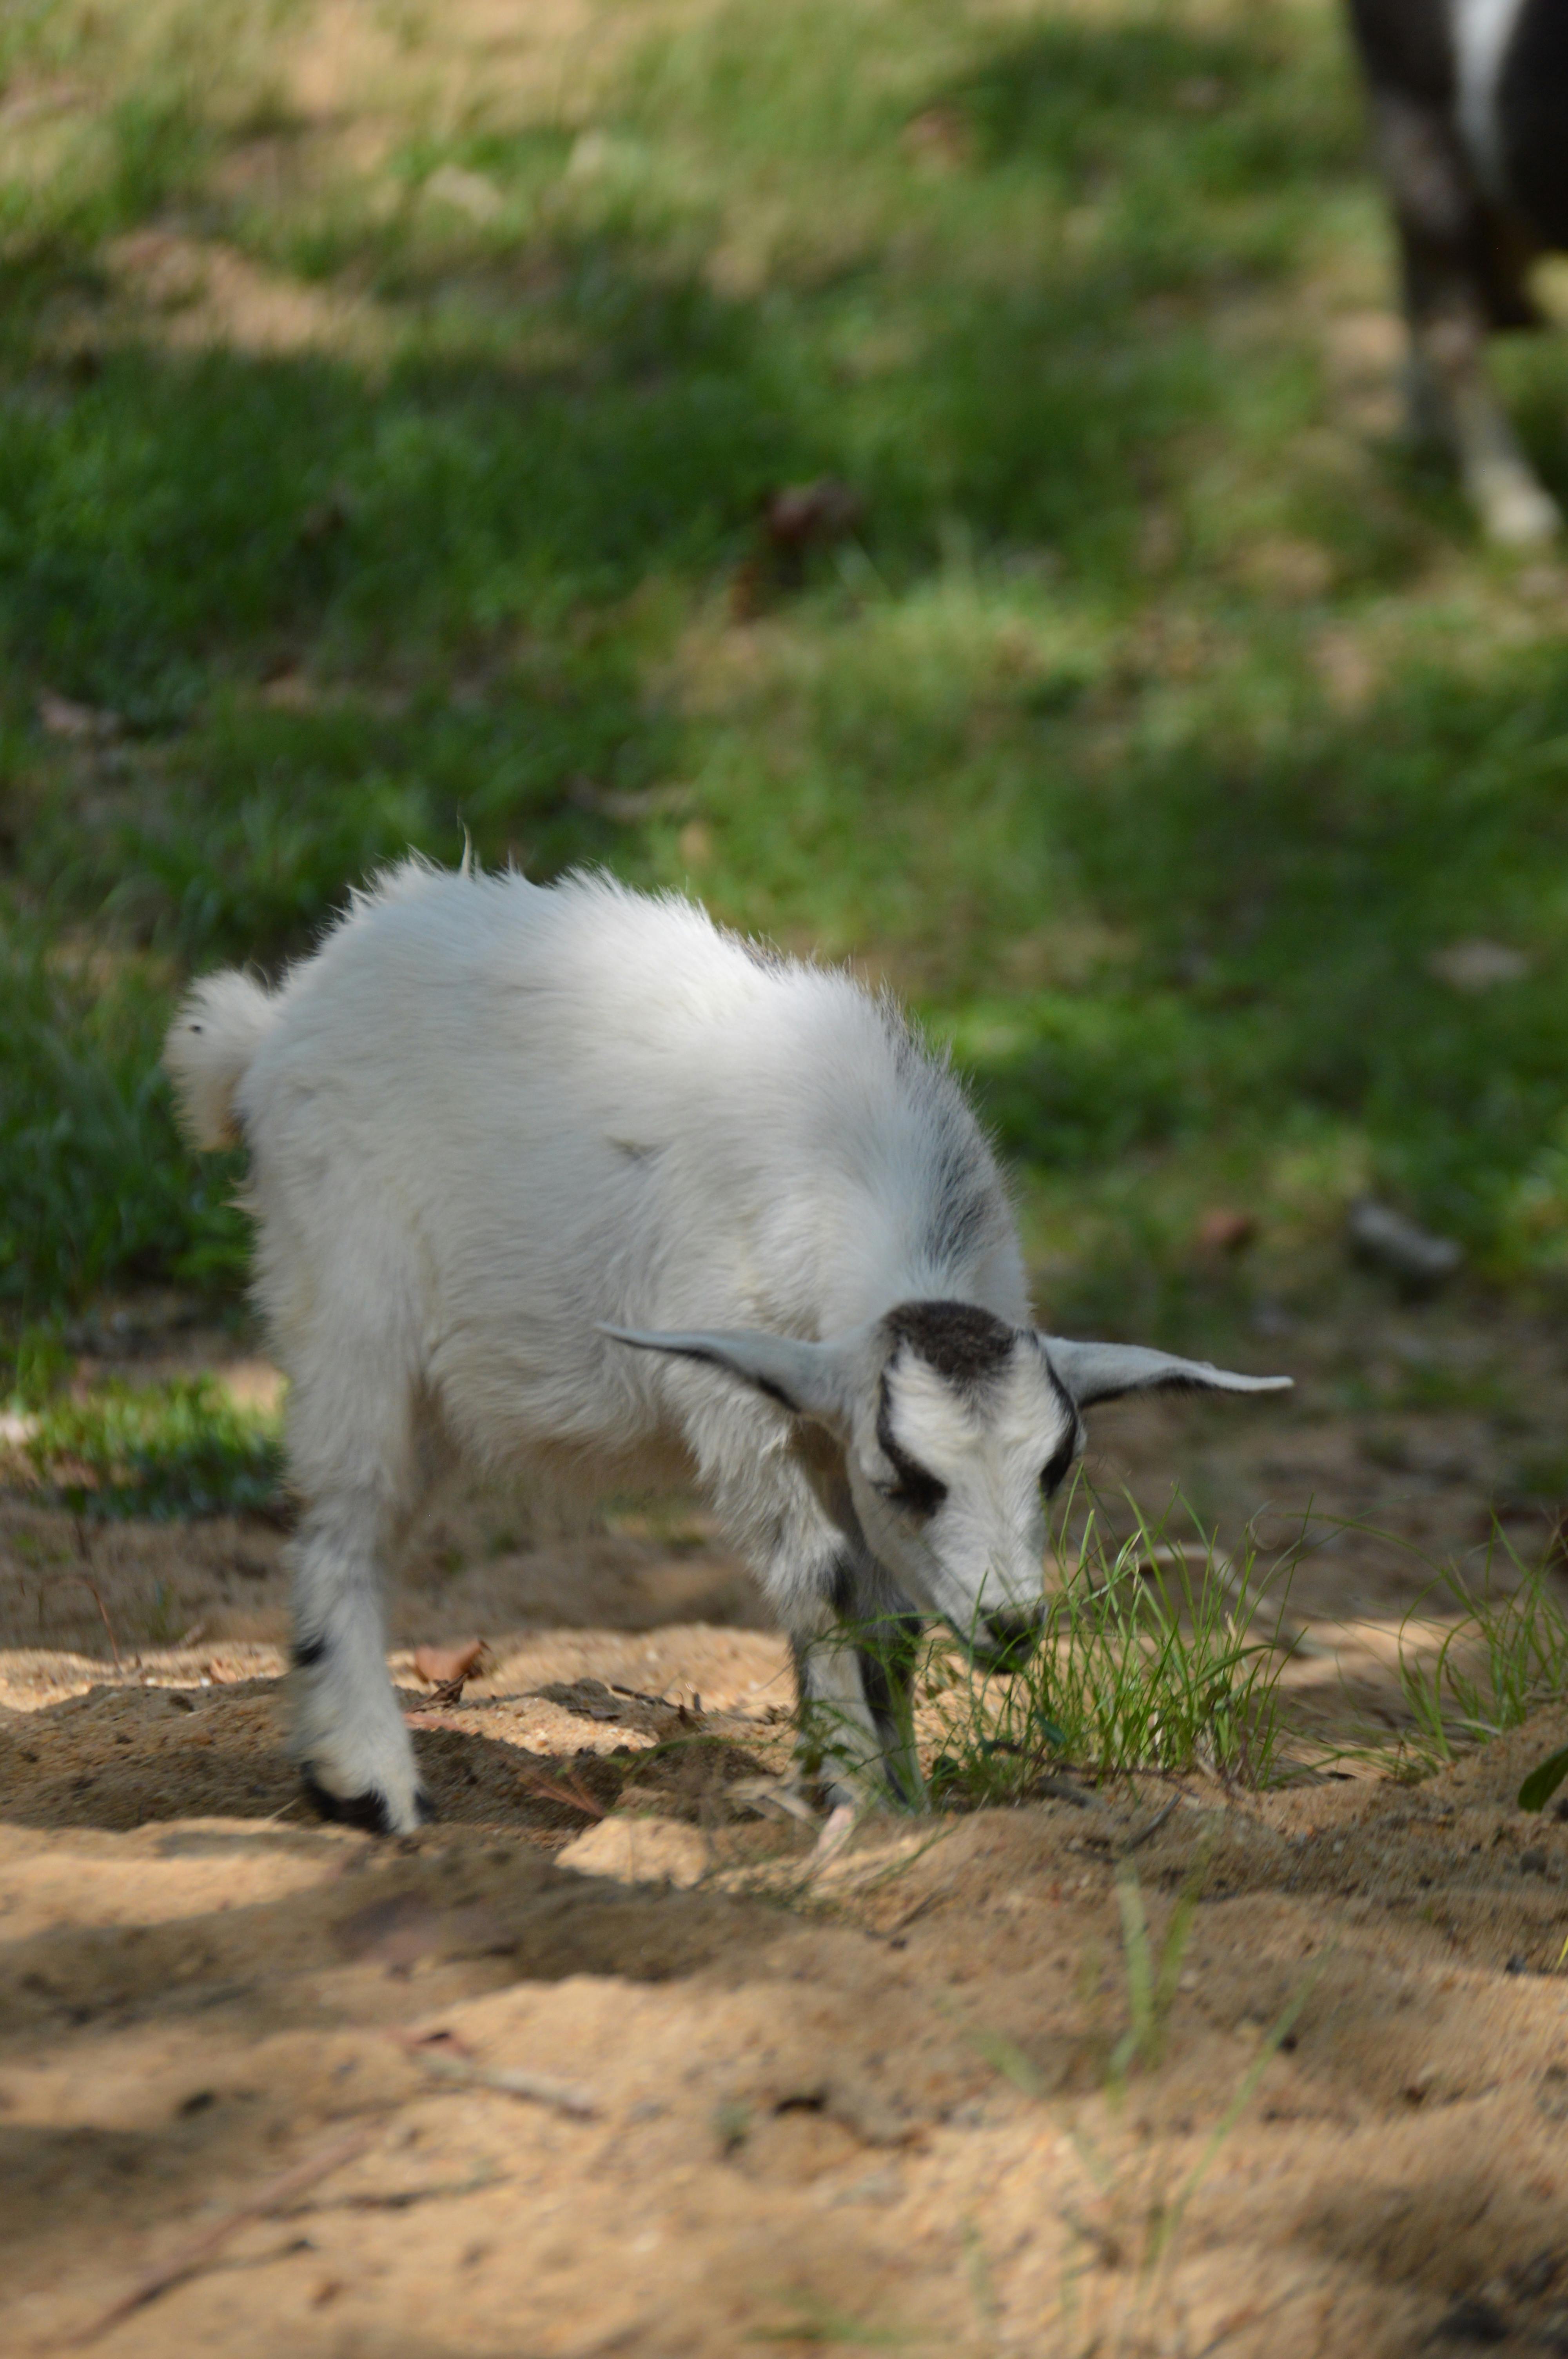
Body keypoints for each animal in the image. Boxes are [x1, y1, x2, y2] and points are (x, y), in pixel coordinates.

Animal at [164, 860, 1288, 1834]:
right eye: (908, 1478)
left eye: (1056, 1469)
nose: (1012, 1627)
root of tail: (273, 1026)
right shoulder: (748, 1407)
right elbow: (829, 1580)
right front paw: (861, 1799)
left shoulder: (822, 1417)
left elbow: (891, 1618)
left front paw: (903, 1799)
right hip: (350, 1292)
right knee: (345, 1521)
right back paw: (369, 1784)